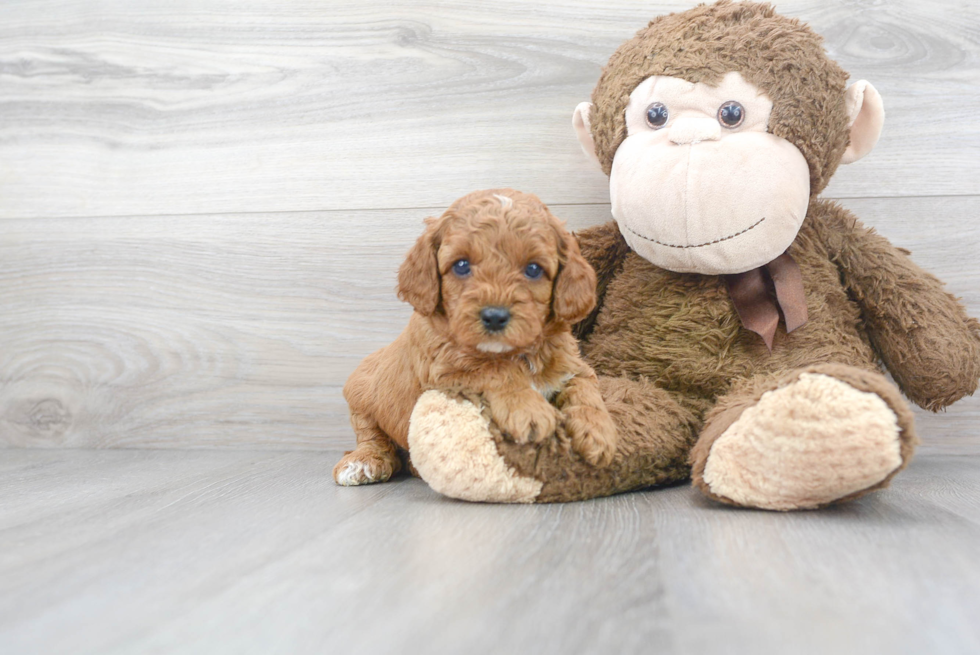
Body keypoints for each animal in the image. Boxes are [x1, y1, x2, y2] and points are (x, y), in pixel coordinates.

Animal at [334, 187, 616, 484]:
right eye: (461, 265)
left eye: (533, 269)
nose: (494, 316)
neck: (515, 352)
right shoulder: (446, 371)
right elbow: (496, 370)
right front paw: (528, 409)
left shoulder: (573, 364)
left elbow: (585, 390)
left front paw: (598, 432)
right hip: (361, 395)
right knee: (371, 435)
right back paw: (363, 462)